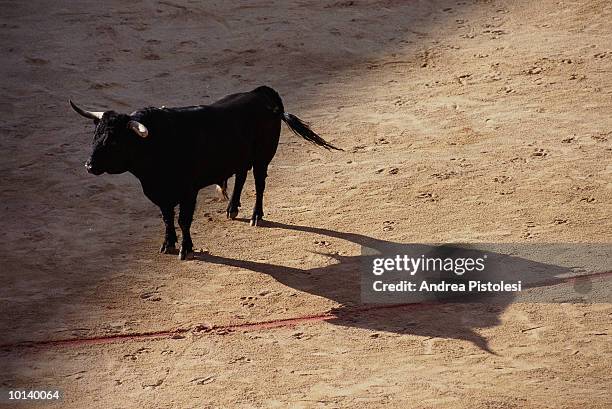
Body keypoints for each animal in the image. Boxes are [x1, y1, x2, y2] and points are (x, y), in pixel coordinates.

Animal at [70, 85, 344, 258]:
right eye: (95, 136)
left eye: (115, 141)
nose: (89, 166)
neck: (157, 145)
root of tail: (260, 93)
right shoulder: (160, 193)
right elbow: (167, 218)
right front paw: (168, 244)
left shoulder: (188, 192)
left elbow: (183, 219)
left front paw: (186, 249)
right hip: (240, 157)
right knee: (241, 177)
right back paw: (232, 209)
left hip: (262, 157)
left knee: (259, 183)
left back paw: (256, 216)